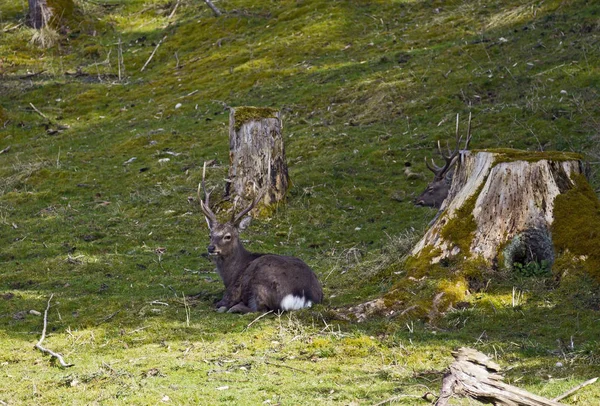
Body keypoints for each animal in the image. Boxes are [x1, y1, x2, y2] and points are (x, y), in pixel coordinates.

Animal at [199, 164, 324, 314]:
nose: (211, 248)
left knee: (260, 308)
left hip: (260, 282)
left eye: (227, 236)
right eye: (210, 235)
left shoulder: (232, 291)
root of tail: (302, 295)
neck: (230, 275)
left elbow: (221, 303)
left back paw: (235, 308)